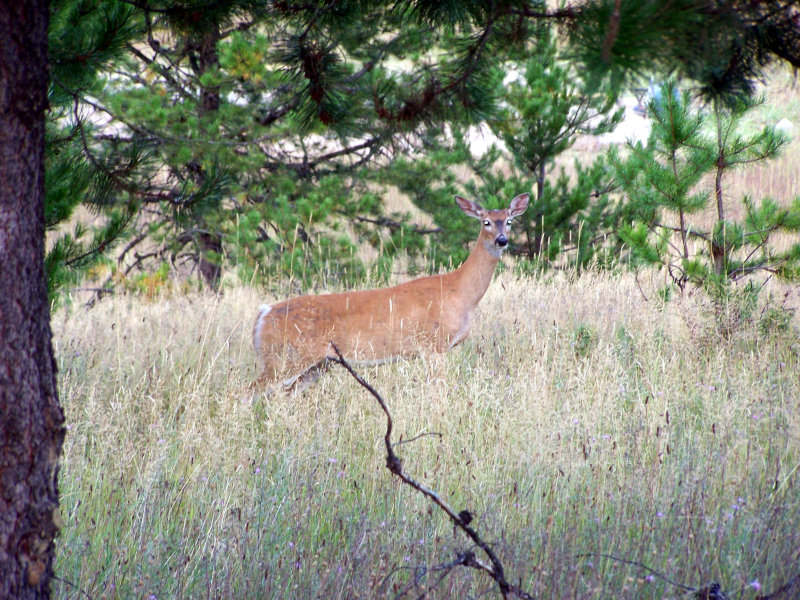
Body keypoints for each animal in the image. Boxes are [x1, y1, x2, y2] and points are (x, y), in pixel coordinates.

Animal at [253, 192, 529, 389]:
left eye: (509, 221)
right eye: (485, 222)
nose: (502, 240)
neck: (459, 292)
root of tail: (264, 314)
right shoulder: (433, 345)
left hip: (315, 365)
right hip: (284, 358)